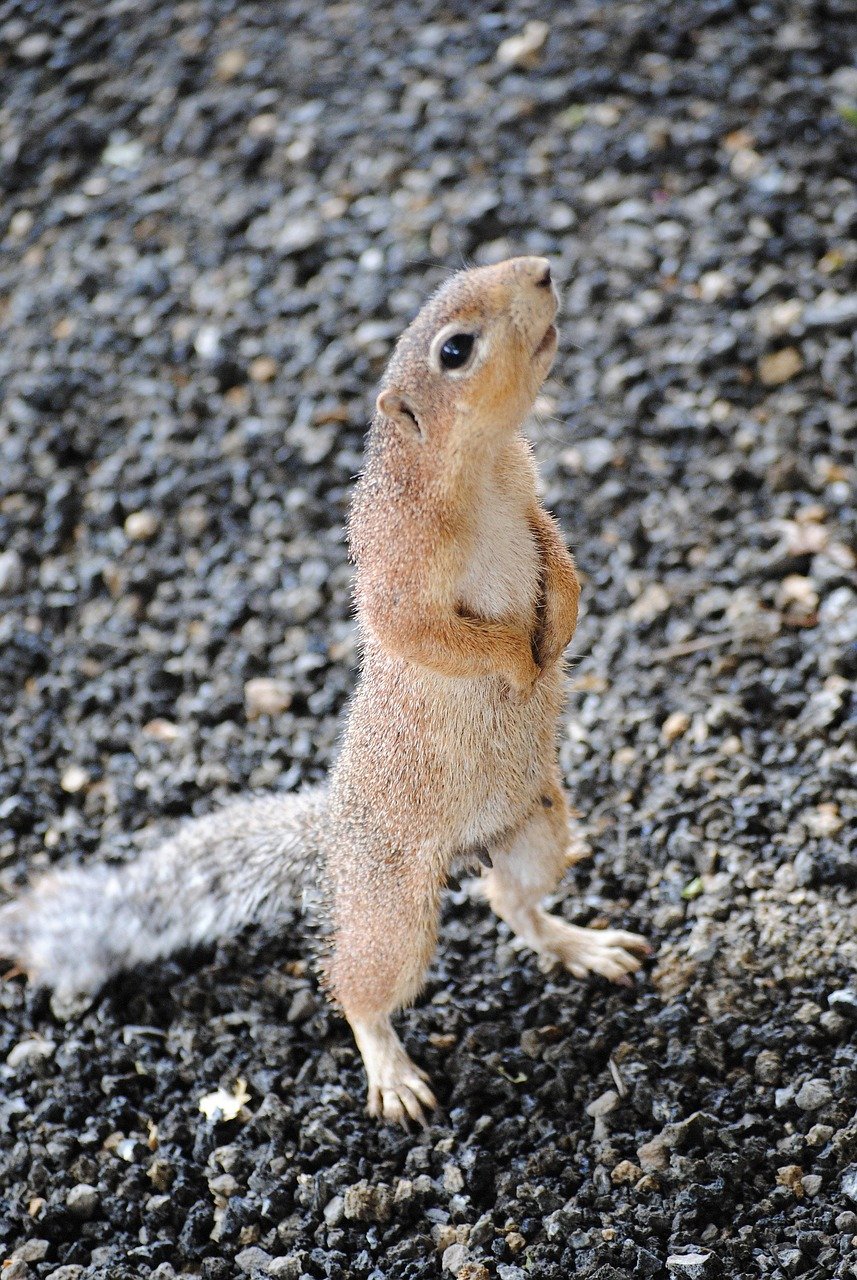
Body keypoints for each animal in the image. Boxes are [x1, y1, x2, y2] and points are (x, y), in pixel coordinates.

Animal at [0, 257, 650, 1125]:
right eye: (454, 349)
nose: (542, 269)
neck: (476, 468)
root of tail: (337, 837)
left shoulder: (531, 495)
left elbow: (558, 550)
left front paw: (562, 627)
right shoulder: (397, 567)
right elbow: (426, 633)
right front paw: (520, 664)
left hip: (538, 829)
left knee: (509, 901)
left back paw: (581, 945)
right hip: (392, 909)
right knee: (359, 985)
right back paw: (390, 1069)